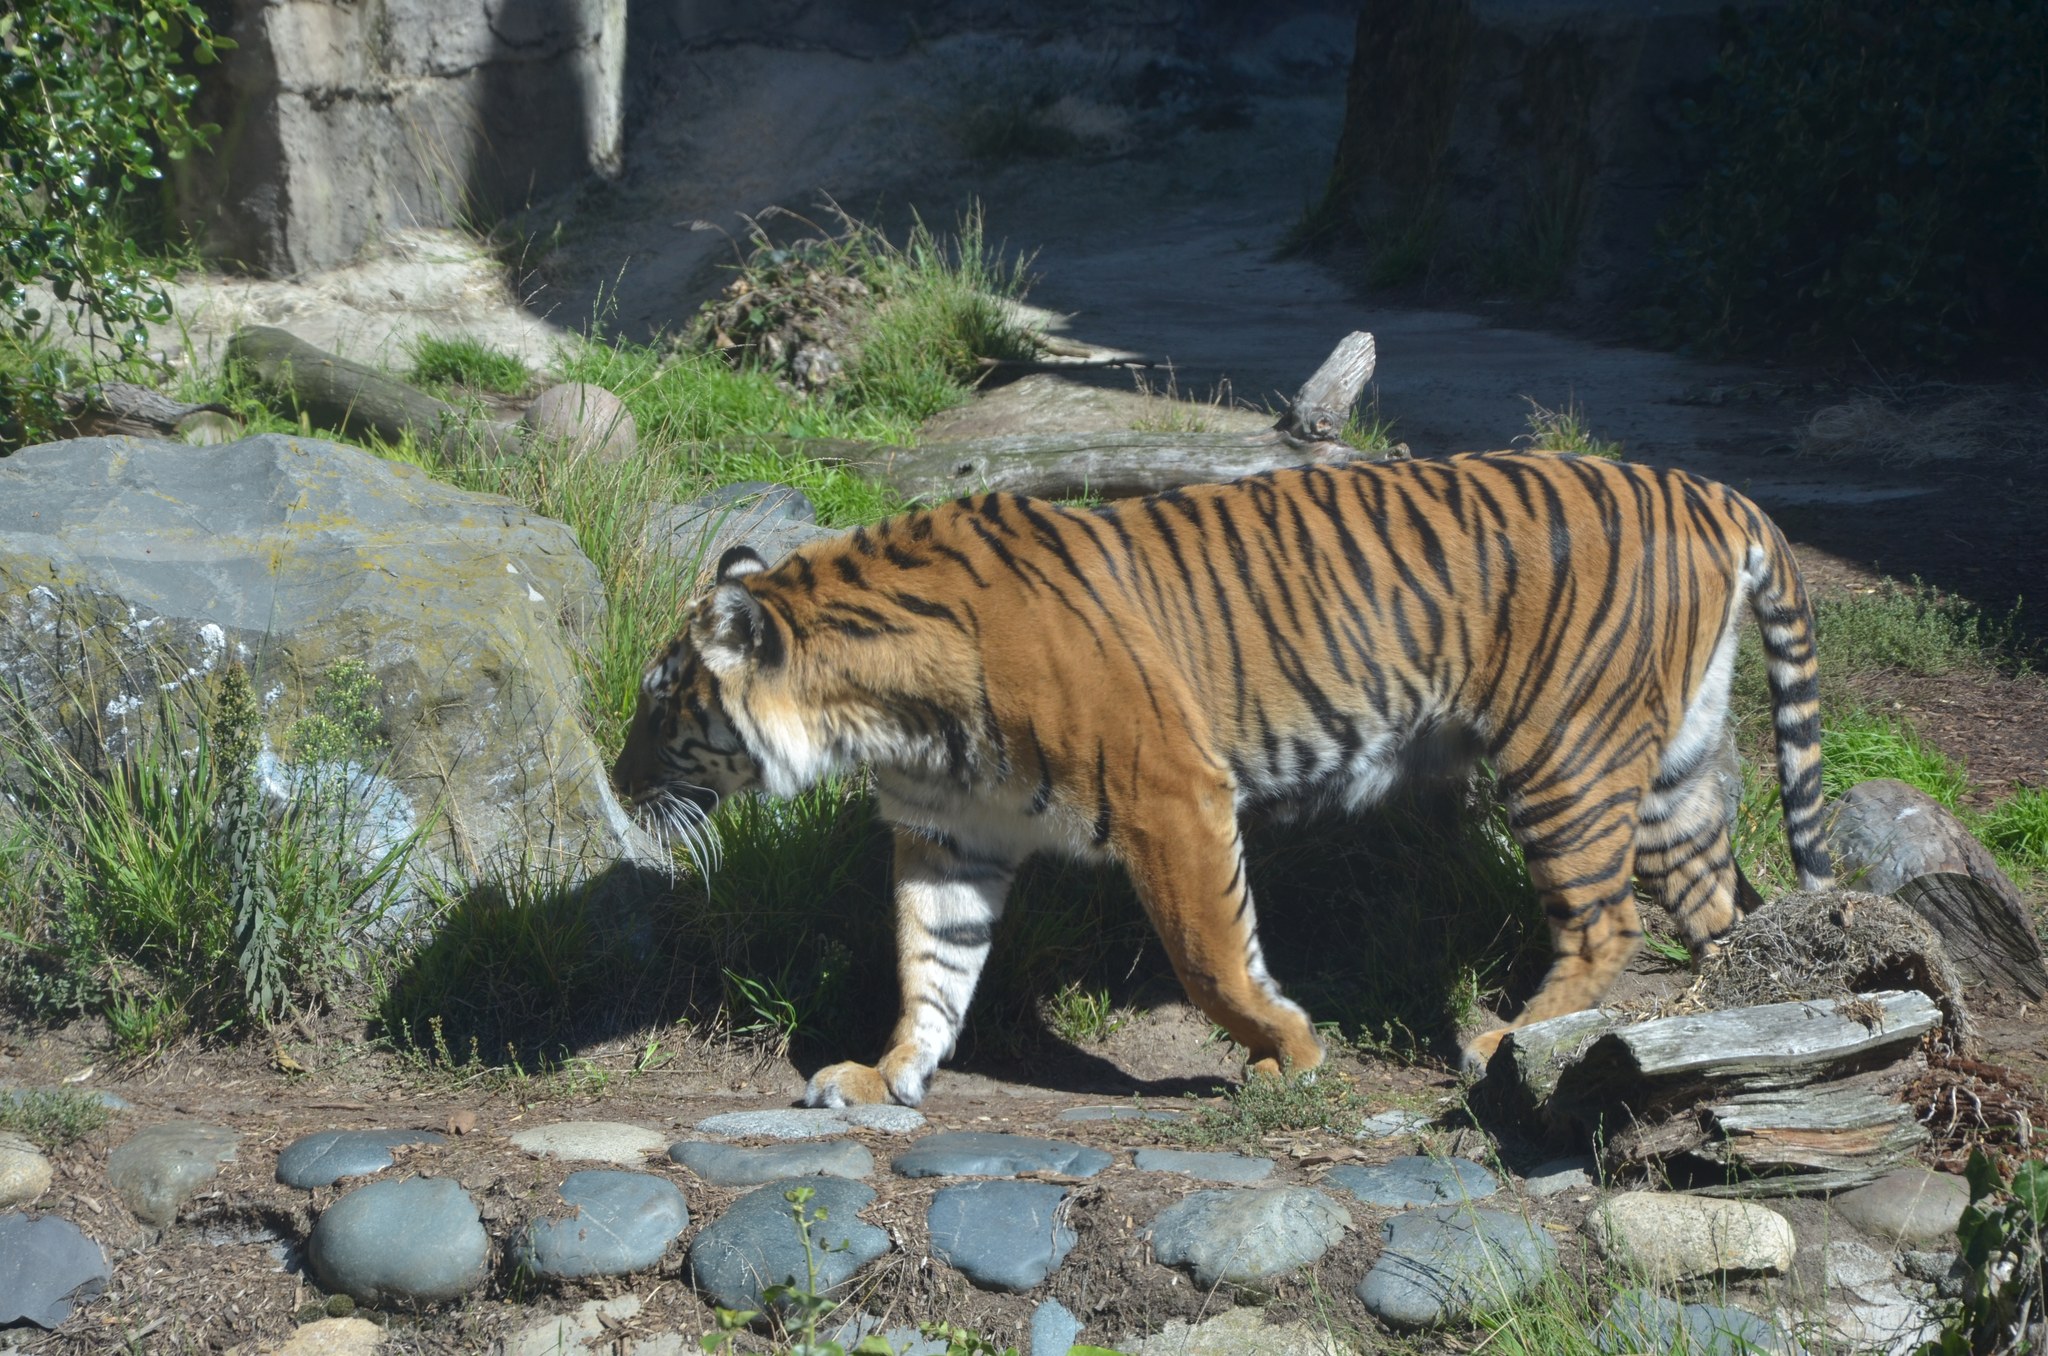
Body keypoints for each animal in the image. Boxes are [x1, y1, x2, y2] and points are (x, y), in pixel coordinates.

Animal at [611, 451, 1833, 1107]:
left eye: (660, 704)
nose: (618, 785)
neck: (885, 723)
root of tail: (1708, 490)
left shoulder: (1171, 795)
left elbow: (1209, 960)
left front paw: (1290, 1052)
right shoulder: (950, 838)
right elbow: (931, 968)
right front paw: (886, 1073)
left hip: (1567, 756)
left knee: (1606, 920)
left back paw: (1504, 1043)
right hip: (1668, 768)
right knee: (1717, 908)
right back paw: (1724, 1028)